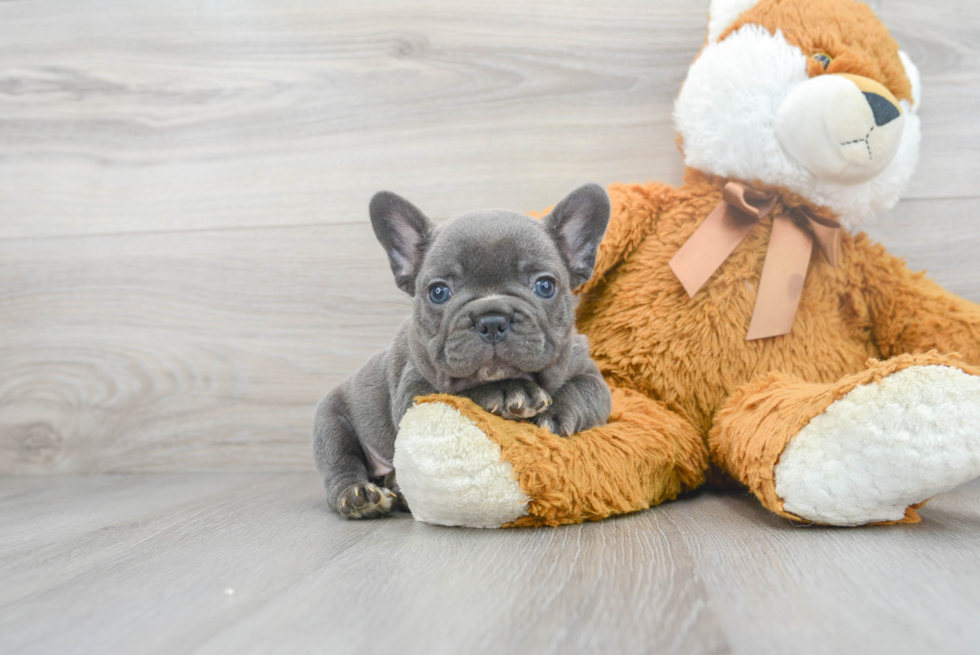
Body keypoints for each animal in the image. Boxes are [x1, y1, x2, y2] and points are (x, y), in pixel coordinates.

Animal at [314, 183, 612, 516]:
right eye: (439, 292)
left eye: (545, 286)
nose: (492, 319)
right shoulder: (415, 392)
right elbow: (459, 392)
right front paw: (507, 390)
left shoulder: (591, 375)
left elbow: (582, 390)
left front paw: (555, 412)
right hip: (331, 423)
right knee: (340, 463)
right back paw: (360, 495)